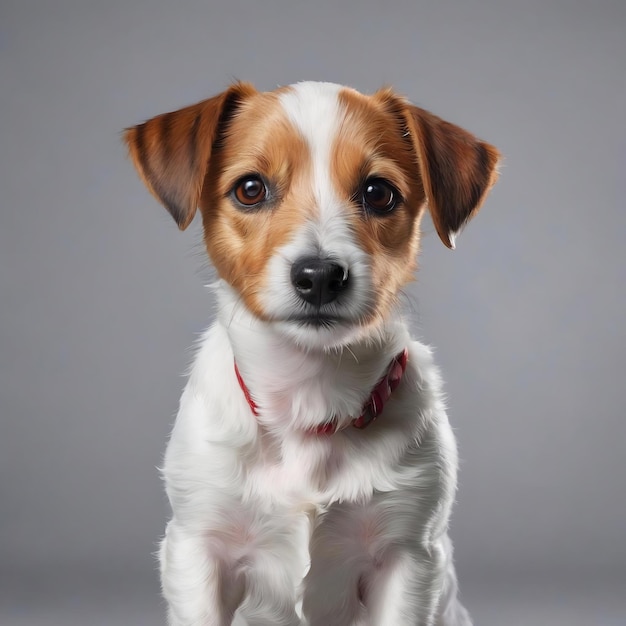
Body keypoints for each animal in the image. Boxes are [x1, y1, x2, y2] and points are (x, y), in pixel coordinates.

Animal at [124, 83, 500, 624]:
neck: (308, 398)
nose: (319, 276)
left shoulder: (408, 558)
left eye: (378, 193)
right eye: (250, 189)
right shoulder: (197, 549)